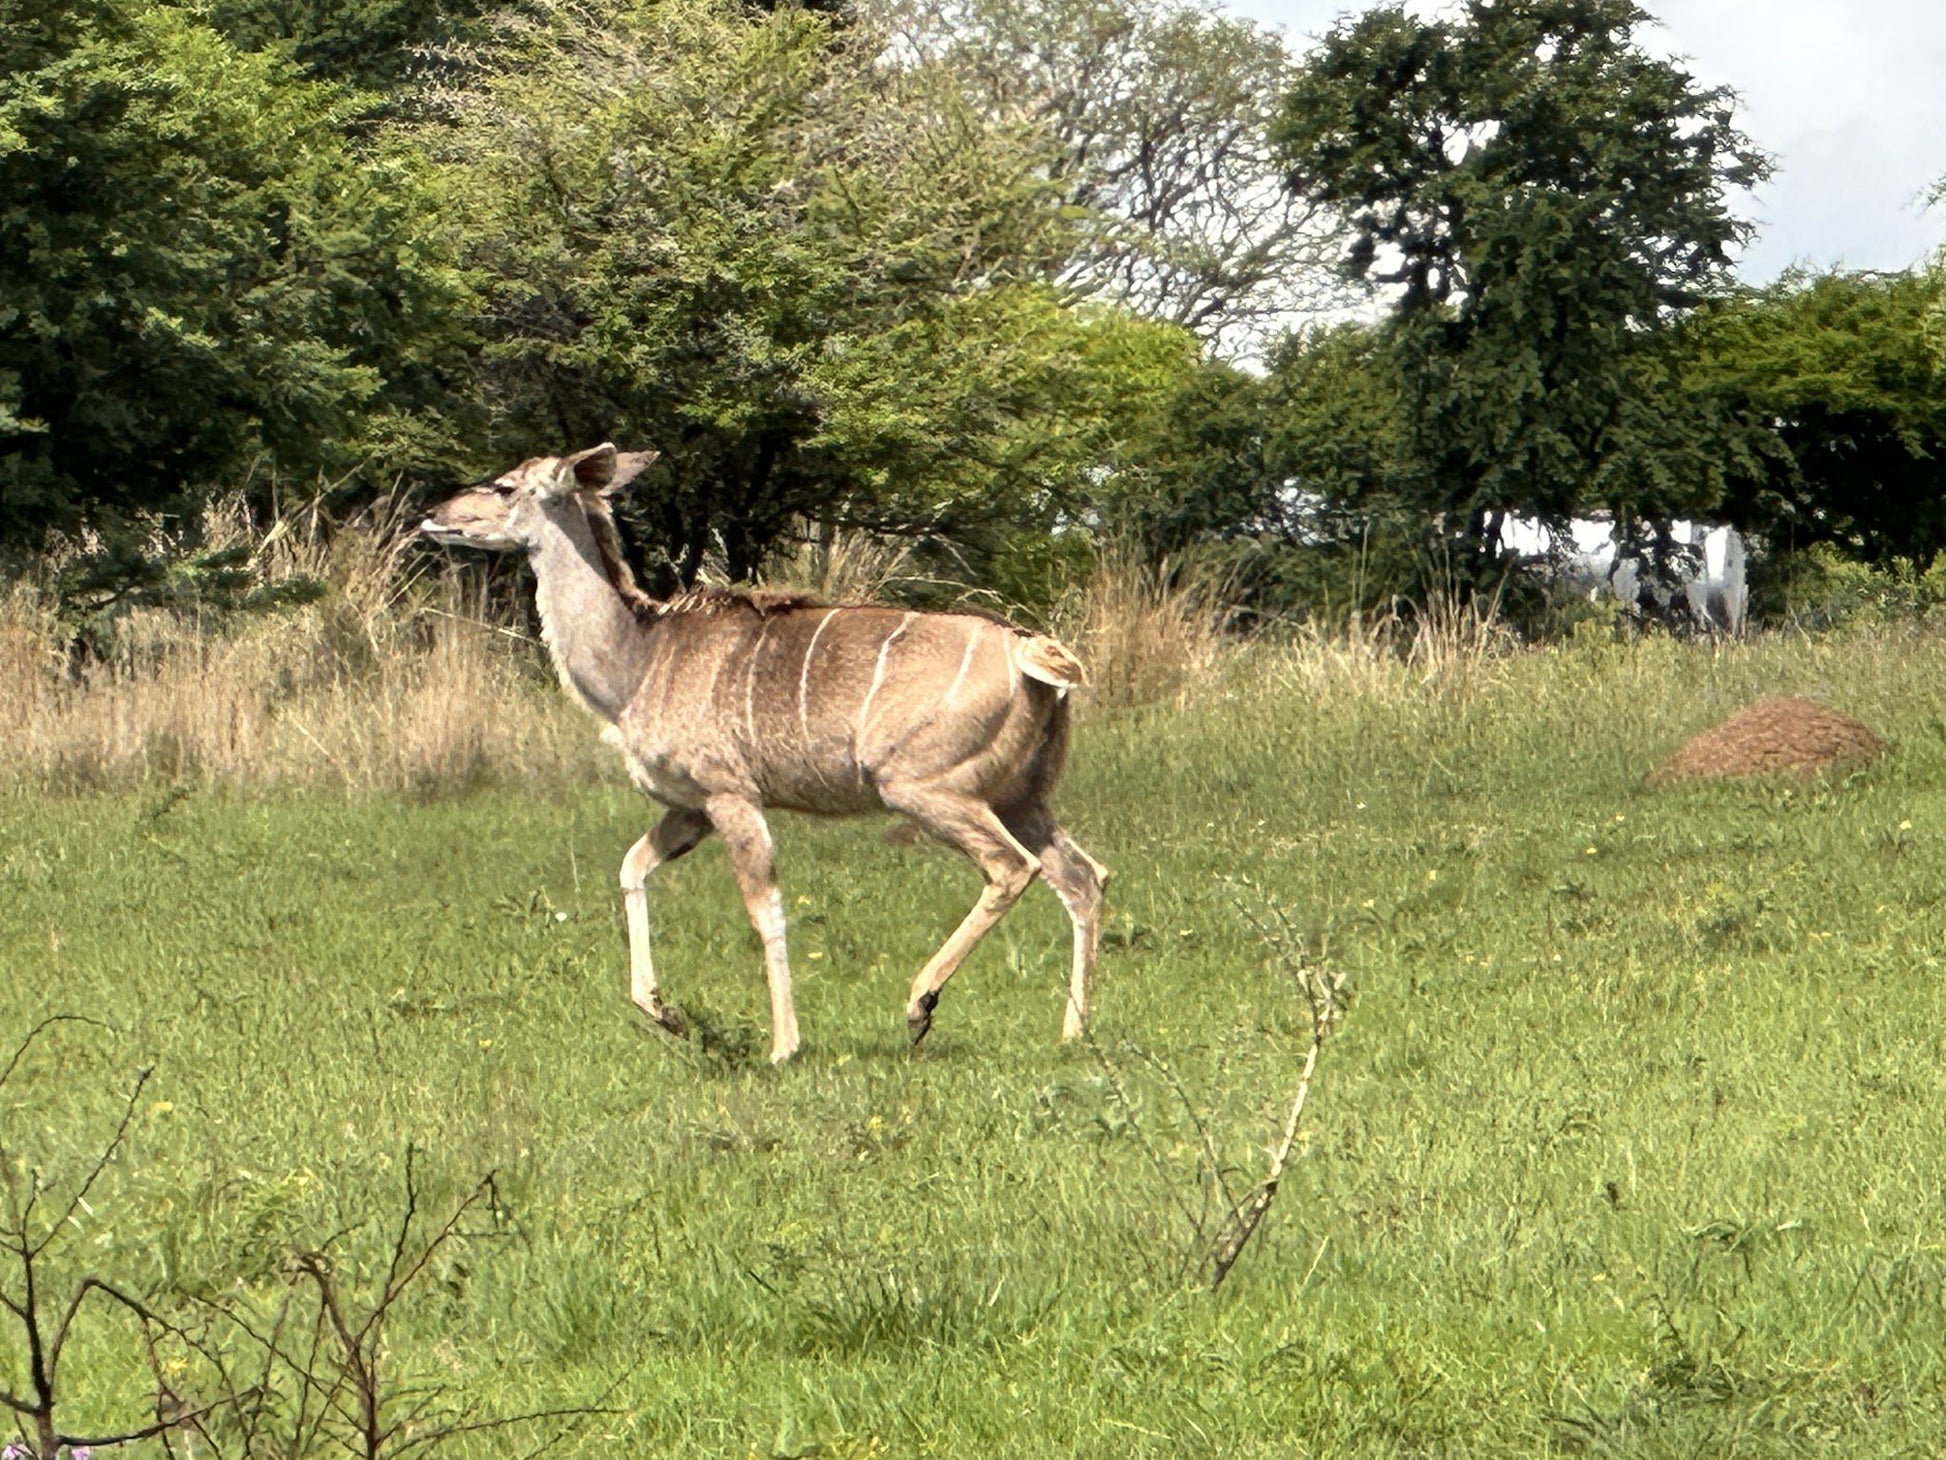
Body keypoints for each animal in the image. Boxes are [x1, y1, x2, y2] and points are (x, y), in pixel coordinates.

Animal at [418, 443, 1105, 1066]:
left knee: (1013, 867)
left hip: (923, 788)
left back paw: (919, 1006)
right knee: (1083, 876)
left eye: (505, 486)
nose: (433, 514)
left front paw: (782, 1048)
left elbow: (765, 912)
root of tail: (1031, 653)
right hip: (1020, 797)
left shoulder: (731, 795)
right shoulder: (690, 808)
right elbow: (632, 867)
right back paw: (1073, 1033)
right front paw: (663, 1011)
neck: (639, 662)